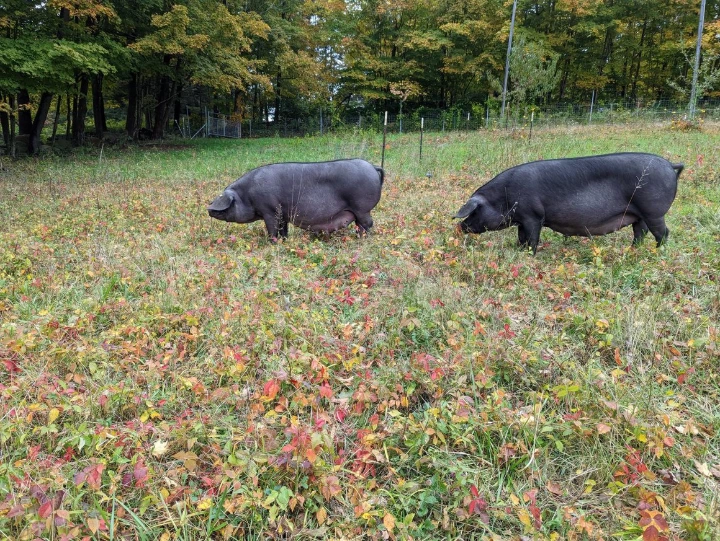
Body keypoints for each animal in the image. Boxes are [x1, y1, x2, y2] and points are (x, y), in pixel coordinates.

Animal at [208, 159, 384, 239]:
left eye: (227, 203)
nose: (208, 209)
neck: (246, 195)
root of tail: (373, 166)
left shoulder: (269, 210)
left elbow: (272, 230)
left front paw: (272, 242)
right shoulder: (282, 213)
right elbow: (283, 229)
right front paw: (285, 240)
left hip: (362, 208)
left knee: (368, 224)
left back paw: (363, 238)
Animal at [454, 152, 683, 254]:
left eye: (474, 211)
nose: (460, 226)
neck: (505, 197)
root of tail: (670, 165)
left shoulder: (533, 216)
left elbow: (532, 239)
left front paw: (529, 254)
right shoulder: (522, 220)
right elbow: (521, 238)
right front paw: (518, 250)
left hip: (654, 211)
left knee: (663, 233)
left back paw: (659, 252)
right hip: (640, 215)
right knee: (640, 233)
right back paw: (632, 251)